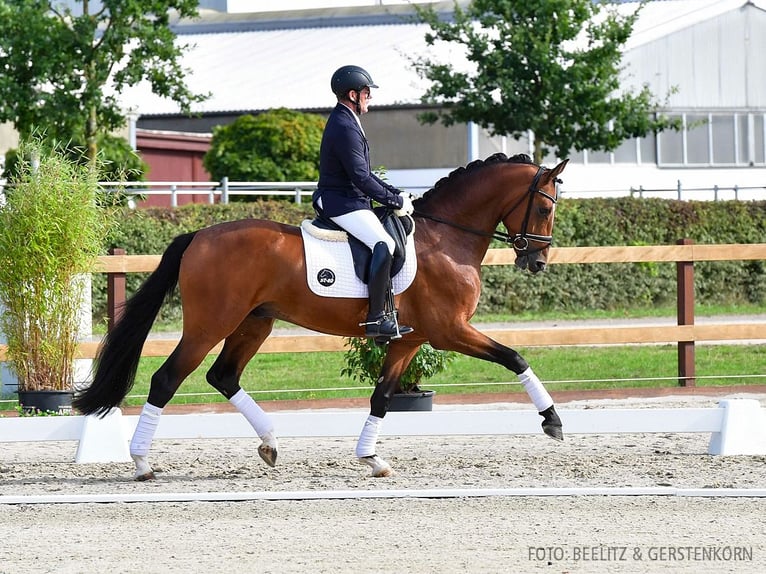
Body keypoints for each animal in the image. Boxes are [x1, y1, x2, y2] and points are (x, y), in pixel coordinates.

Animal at [75, 153, 568, 482]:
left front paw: (372, 459)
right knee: (167, 379)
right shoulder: (450, 331)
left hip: (256, 322)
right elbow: (515, 357)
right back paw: (142, 462)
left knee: (223, 376)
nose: (538, 262)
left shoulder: (409, 340)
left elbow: (382, 397)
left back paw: (271, 444)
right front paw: (552, 420)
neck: (446, 239)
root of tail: (198, 236)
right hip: (210, 324)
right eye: (546, 207)